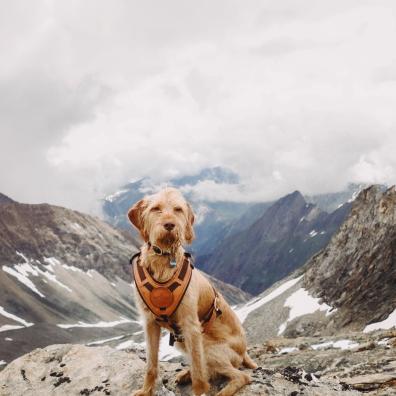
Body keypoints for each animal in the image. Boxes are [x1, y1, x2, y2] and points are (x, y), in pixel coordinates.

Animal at [127, 187, 256, 394]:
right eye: (156, 209)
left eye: (178, 209)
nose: (169, 225)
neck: (163, 261)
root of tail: (244, 352)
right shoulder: (150, 324)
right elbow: (151, 364)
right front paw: (146, 390)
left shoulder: (191, 326)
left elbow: (199, 372)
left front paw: (200, 390)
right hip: (183, 341)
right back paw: (185, 374)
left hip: (207, 347)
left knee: (240, 376)